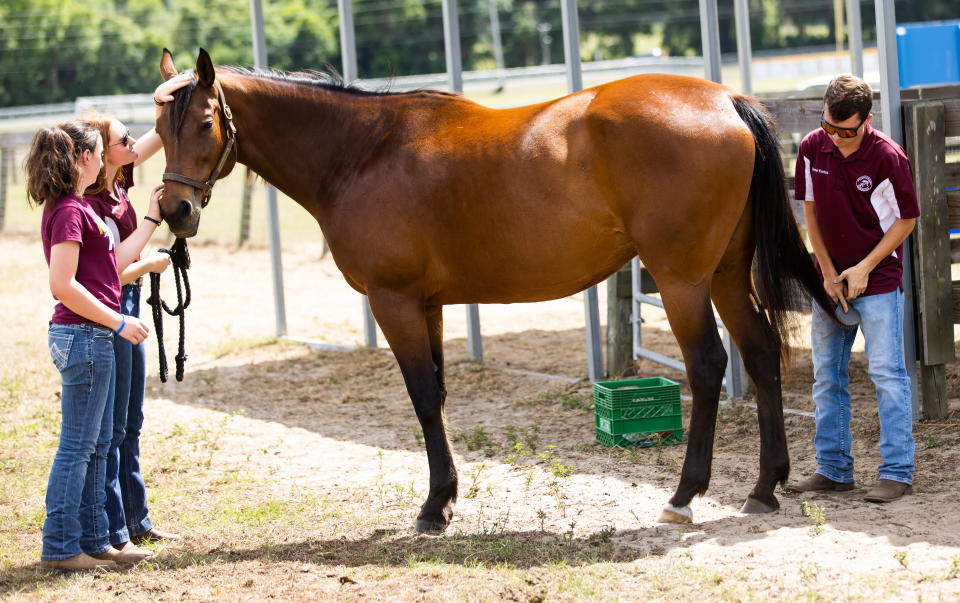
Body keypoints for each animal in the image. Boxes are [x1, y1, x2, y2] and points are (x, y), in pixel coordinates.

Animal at [156, 49, 832, 532]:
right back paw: (764, 487)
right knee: (761, 354)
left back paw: (685, 495)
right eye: (161, 127)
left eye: (206, 121)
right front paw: (447, 498)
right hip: (724, 274)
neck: (362, 152)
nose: (175, 210)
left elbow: (422, 397)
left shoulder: (394, 301)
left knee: (709, 365)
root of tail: (726, 99)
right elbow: (438, 394)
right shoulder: (426, 305)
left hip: (682, 280)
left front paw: (434, 509)